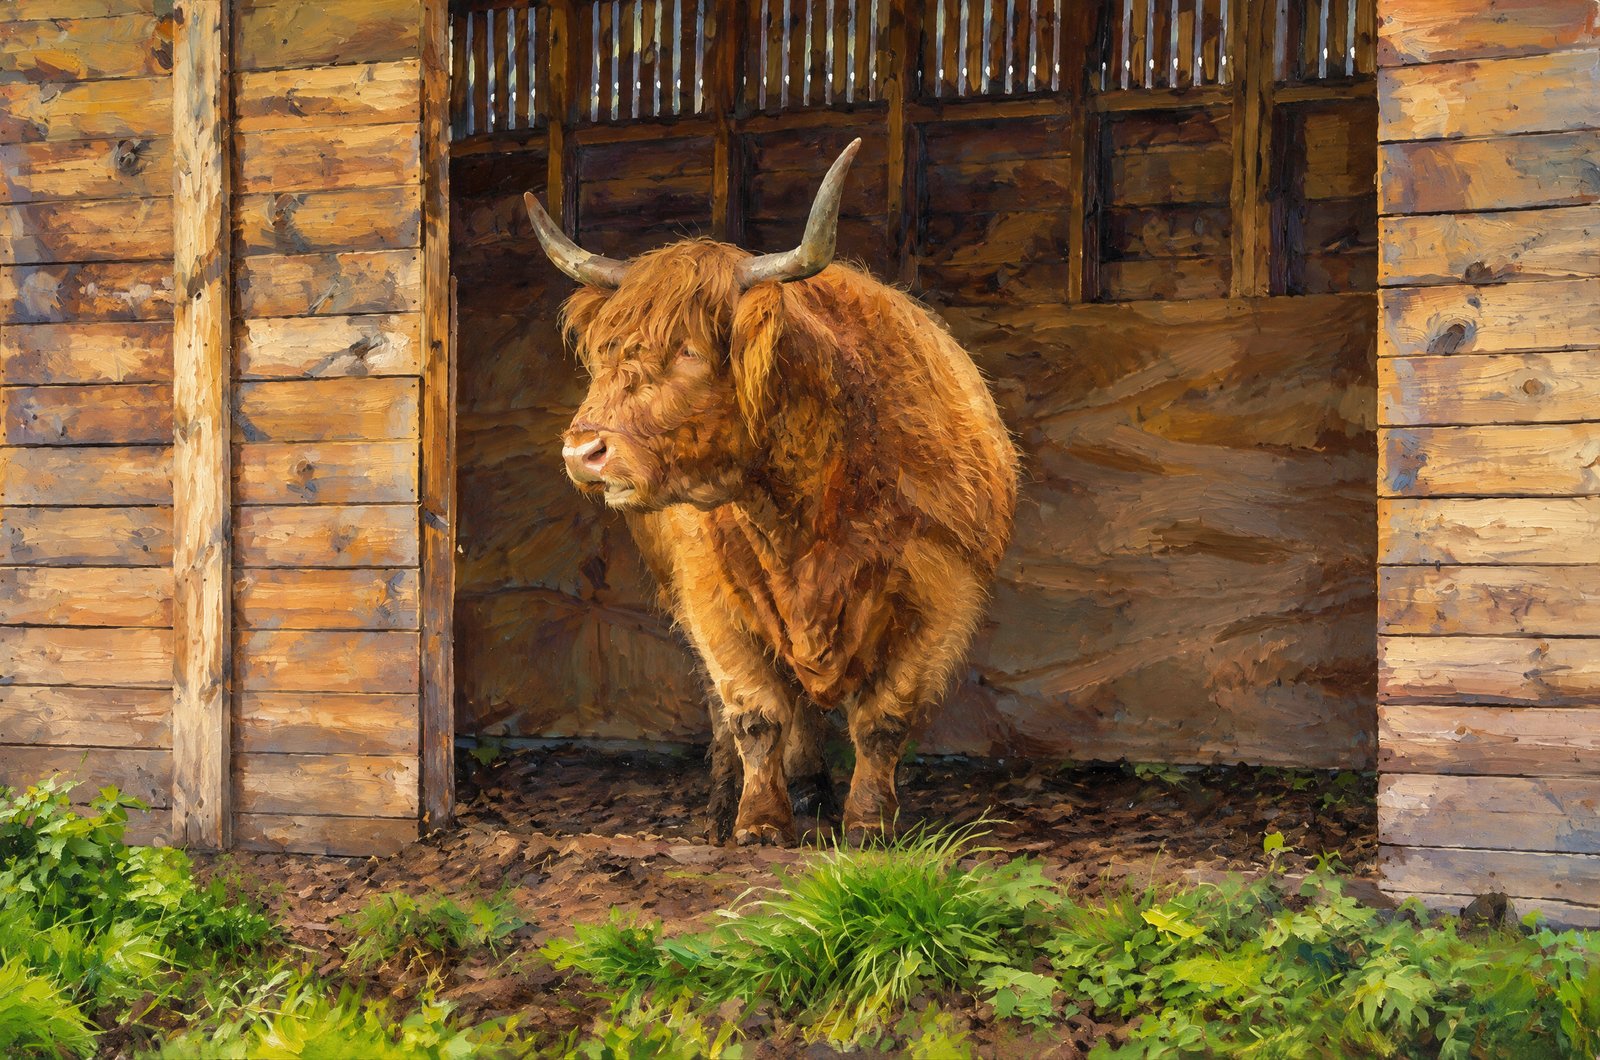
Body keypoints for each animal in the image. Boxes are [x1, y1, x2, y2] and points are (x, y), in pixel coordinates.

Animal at [525, 140, 1019, 846]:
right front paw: (758, 821)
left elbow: (884, 718)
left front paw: (869, 823)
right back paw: (733, 798)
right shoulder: (710, 595)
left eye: (690, 351)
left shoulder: (943, 588)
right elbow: (754, 712)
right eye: (605, 351)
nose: (583, 452)